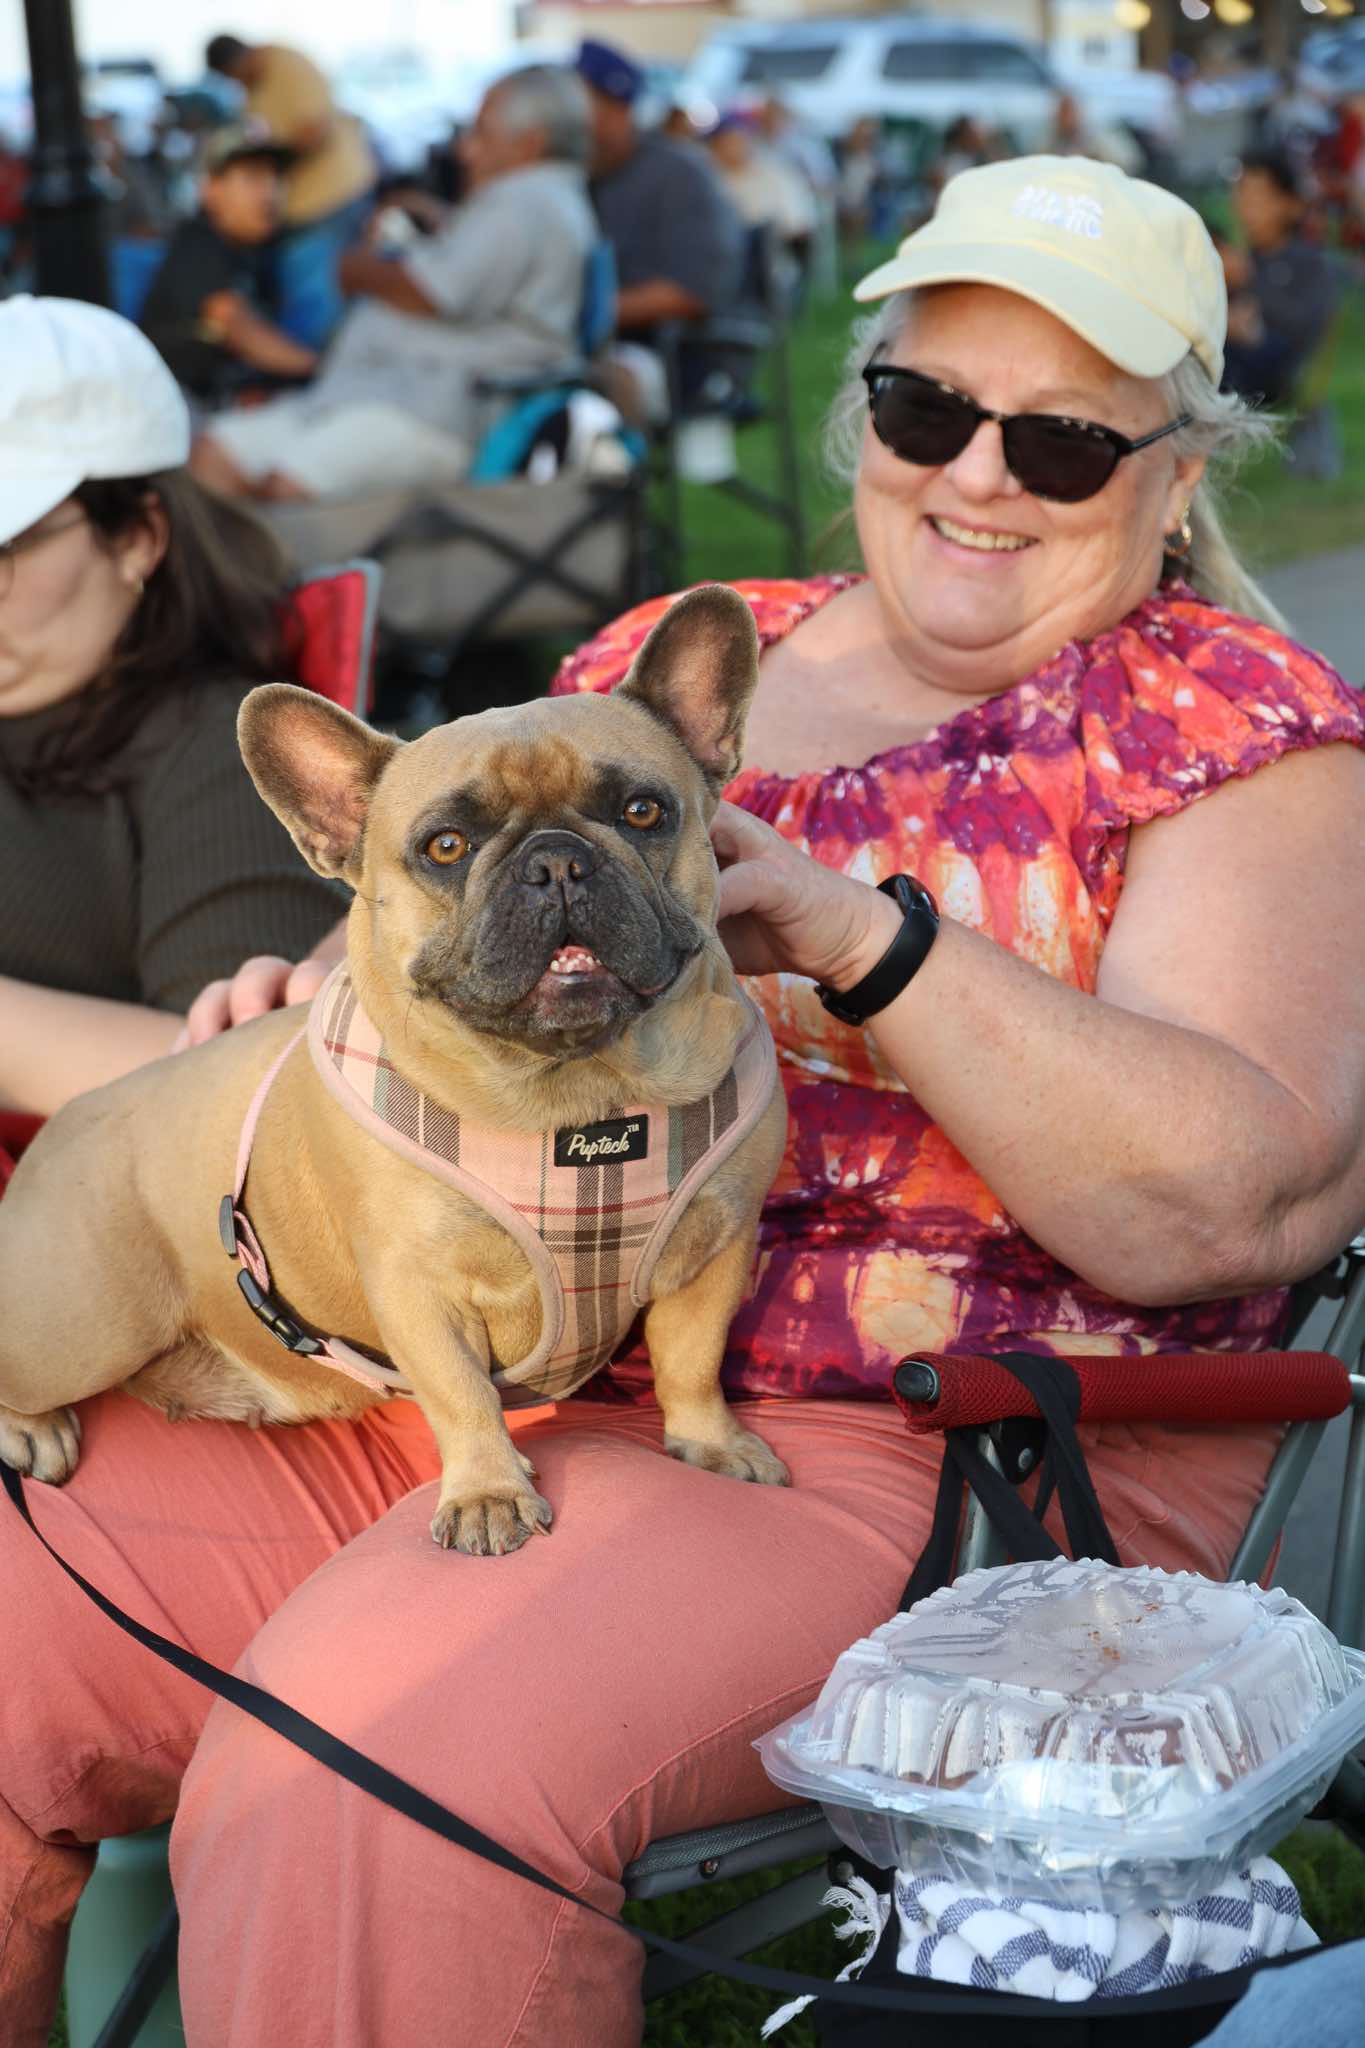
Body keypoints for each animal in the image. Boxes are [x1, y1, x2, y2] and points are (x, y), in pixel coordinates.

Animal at [0, 585, 790, 1554]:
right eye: (445, 847)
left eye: (642, 812)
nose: (555, 860)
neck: (579, 1096)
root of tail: (71, 1117)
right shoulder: (417, 1289)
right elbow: (460, 1394)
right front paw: (488, 1492)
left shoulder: (715, 1254)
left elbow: (693, 1359)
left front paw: (710, 1443)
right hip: (78, 1329)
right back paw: (35, 1427)